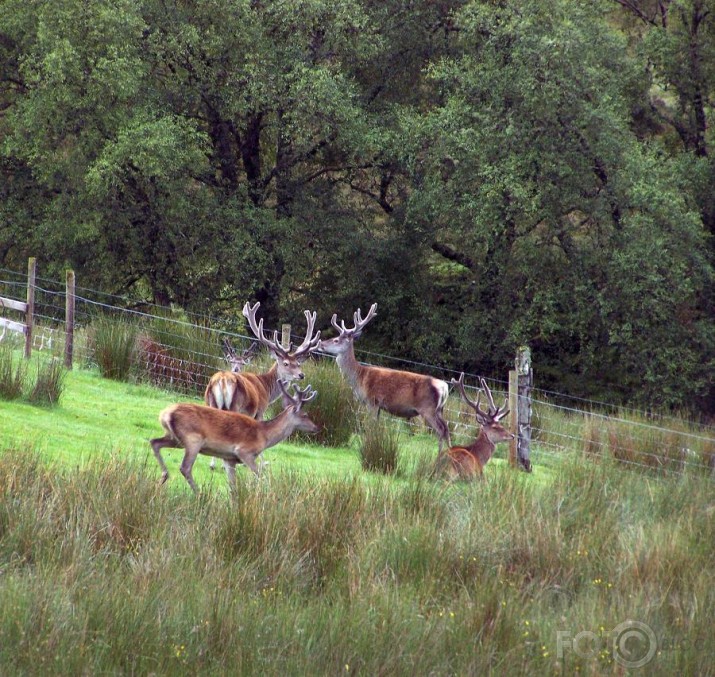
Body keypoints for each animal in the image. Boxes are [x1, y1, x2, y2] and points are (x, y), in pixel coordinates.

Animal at [150, 380, 318, 492]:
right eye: (304, 414)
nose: (316, 427)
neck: (264, 436)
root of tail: (164, 414)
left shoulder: (229, 458)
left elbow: (233, 486)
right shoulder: (244, 452)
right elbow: (261, 476)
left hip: (175, 439)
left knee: (154, 442)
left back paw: (163, 477)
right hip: (193, 439)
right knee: (185, 467)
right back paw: (198, 493)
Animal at [320, 302, 454, 452]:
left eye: (336, 340)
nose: (321, 343)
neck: (359, 378)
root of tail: (444, 387)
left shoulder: (372, 400)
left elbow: (371, 426)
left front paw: (368, 445)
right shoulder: (378, 406)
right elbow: (377, 426)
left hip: (428, 409)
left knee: (440, 429)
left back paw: (441, 454)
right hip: (440, 410)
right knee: (447, 428)